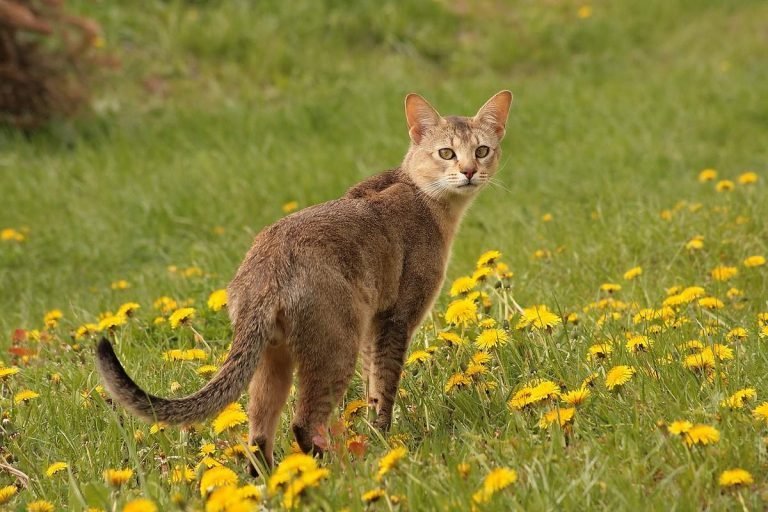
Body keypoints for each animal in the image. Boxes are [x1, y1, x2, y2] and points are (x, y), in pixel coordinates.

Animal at [97, 90, 516, 474]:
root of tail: (267, 267)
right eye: (446, 153)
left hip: (274, 357)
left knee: (258, 433)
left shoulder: (374, 325)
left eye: (481, 150)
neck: (422, 196)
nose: (469, 171)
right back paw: (334, 471)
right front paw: (383, 438)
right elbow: (384, 385)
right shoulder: (395, 319)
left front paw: (373, 432)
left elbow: (372, 386)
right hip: (336, 343)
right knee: (303, 422)